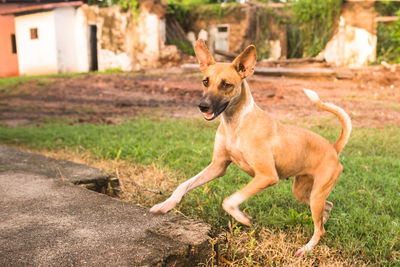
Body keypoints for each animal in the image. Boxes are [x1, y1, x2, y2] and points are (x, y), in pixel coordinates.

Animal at [152, 39, 352, 258]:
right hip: (303, 192)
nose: (202, 106)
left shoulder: (266, 176)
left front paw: (243, 219)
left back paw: (305, 249)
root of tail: (333, 148)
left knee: (320, 228)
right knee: (327, 208)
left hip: (315, 194)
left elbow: (229, 201)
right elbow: (183, 185)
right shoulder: (217, 166)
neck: (237, 123)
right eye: (205, 81)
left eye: (226, 84)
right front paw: (164, 205)